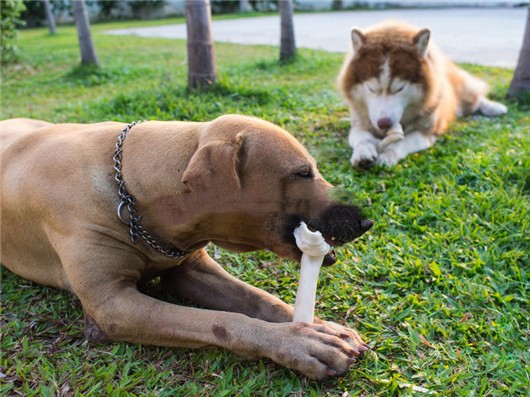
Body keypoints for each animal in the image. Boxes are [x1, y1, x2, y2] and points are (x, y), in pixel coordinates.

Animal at [0, 114, 372, 378]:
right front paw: (295, 342)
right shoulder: (113, 306)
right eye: (302, 173)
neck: (129, 190)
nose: (366, 222)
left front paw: (317, 327)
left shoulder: (190, 269)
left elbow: (260, 299)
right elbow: (222, 321)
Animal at [336, 20, 506, 166]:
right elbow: (362, 139)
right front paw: (362, 153)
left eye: (400, 88)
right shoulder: (359, 124)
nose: (384, 123)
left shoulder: (427, 132)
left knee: (475, 98)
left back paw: (495, 107)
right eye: (371, 88)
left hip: (464, 96)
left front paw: (388, 154)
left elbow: (401, 142)